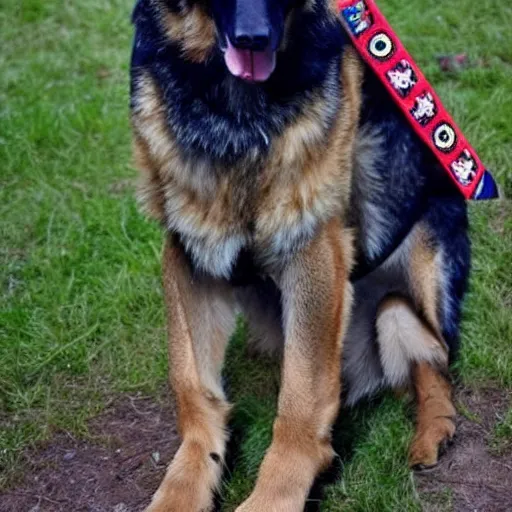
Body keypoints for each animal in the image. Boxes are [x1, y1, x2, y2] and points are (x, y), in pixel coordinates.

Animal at [130, 1, 470, 508]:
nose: (253, 39)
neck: (234, 108)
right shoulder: (189, 247)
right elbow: (191, 387)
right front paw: (182, 489)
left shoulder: (311, 247)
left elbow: (300, 397)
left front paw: (273, 498)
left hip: (421, 265)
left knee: (435, 359)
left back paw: (432, 433)